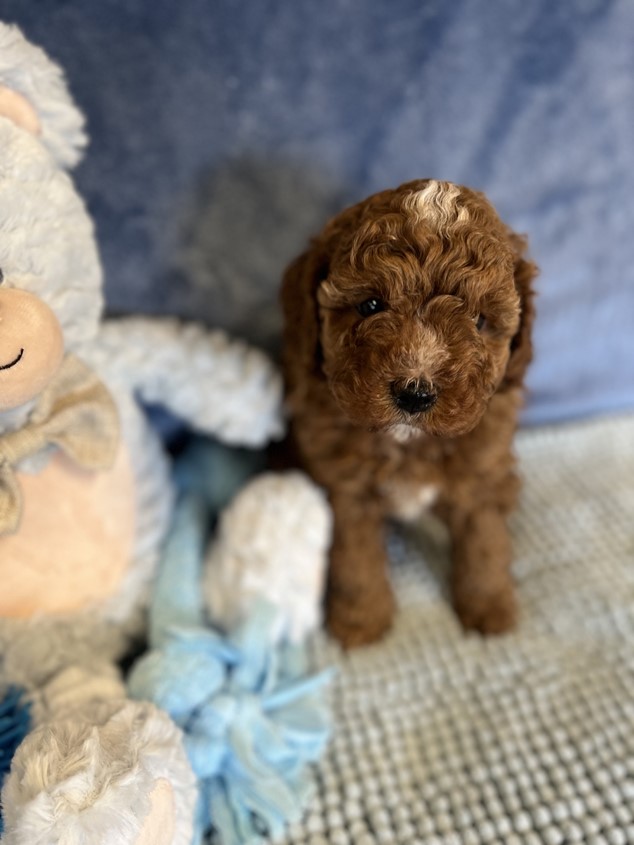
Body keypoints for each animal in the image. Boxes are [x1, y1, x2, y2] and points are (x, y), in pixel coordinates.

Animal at [280, 178, 532, 648]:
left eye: (479, 320)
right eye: (371, 305)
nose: (416, 393)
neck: (407, 442)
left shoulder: (479, 475)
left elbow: (483, 539)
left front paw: (489, 608)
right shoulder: (347, 489)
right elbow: (355, 556)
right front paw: (361, 621)